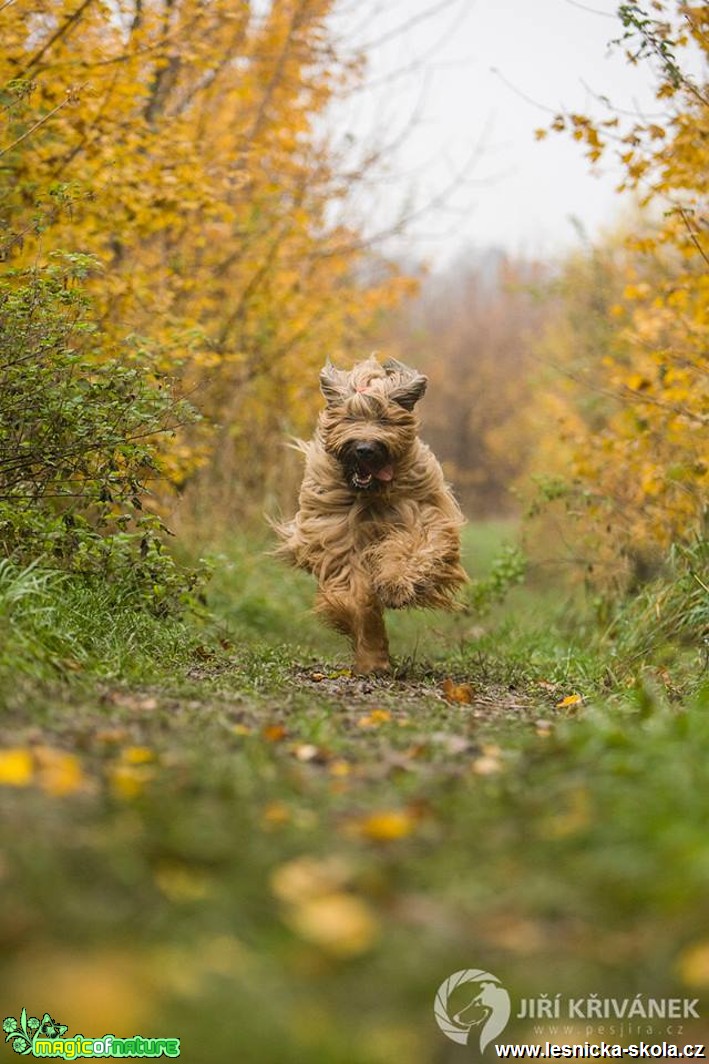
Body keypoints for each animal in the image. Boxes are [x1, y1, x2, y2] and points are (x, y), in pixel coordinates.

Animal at [274, 357, 464, 672]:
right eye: (350, 418)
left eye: (385, 420)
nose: (365, 449)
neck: (370, 495)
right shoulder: (339, 541)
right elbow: (358, 597)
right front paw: (373, 657)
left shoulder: (420, 517)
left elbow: (412, 548)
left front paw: (395, 585)